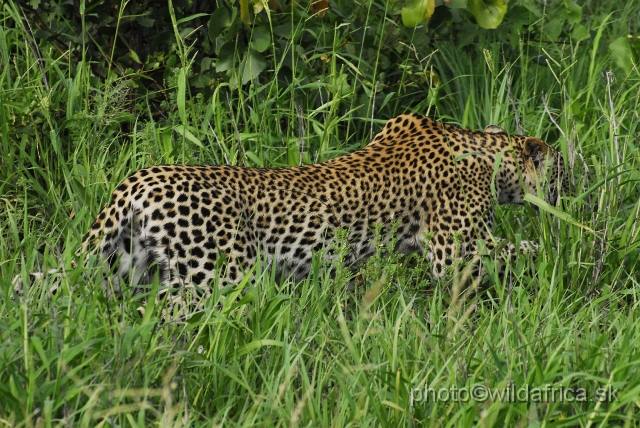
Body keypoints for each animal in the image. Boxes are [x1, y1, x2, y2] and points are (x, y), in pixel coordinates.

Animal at [15, 113, 564, 318]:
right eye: (560, 171)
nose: (570, 192)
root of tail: (140, 177)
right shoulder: (456, 253)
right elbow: (510, 253)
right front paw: (549, 253)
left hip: (124, 264)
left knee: (52, 286)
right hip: (218, 277)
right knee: (165, 314)